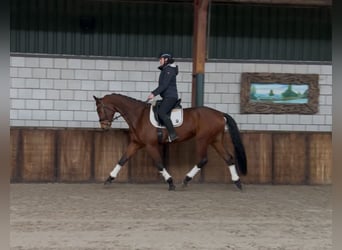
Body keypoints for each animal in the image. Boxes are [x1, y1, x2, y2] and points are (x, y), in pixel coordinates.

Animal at [93, 93, 247, 190]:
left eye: (100, 109)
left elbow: (159, 164)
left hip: (202, 139)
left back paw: (186, 180)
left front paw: (171, 182)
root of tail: (220, 114)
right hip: (215, 140)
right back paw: (237, 182)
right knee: (229, 158)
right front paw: (109, 179)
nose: (104, 127)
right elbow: (122, 160)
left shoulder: (150, 145)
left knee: (203, 159)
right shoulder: (136, 144)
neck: (139, 115)